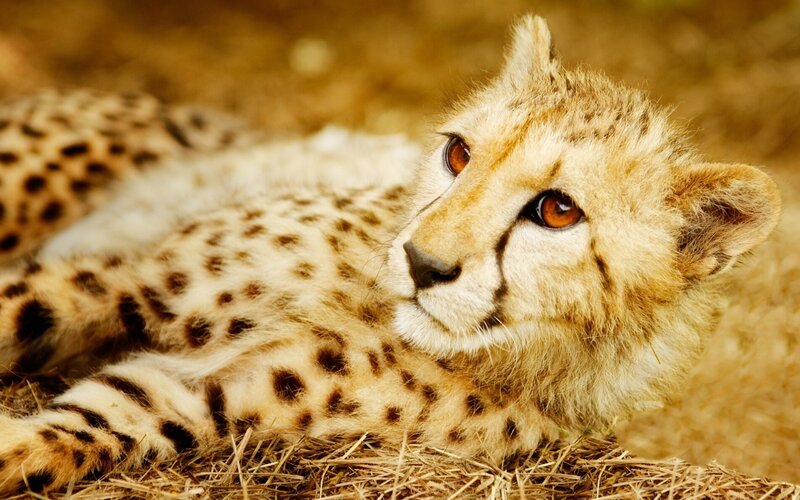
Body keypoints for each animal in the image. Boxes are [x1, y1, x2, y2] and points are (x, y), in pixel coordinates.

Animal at [0, 15, 780, 495]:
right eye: (458, 153)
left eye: (557, 211)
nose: (423, 263)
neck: (369, 308)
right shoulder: (136, 281)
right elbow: (23, 305)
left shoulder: (204, 397)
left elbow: (72, 430)